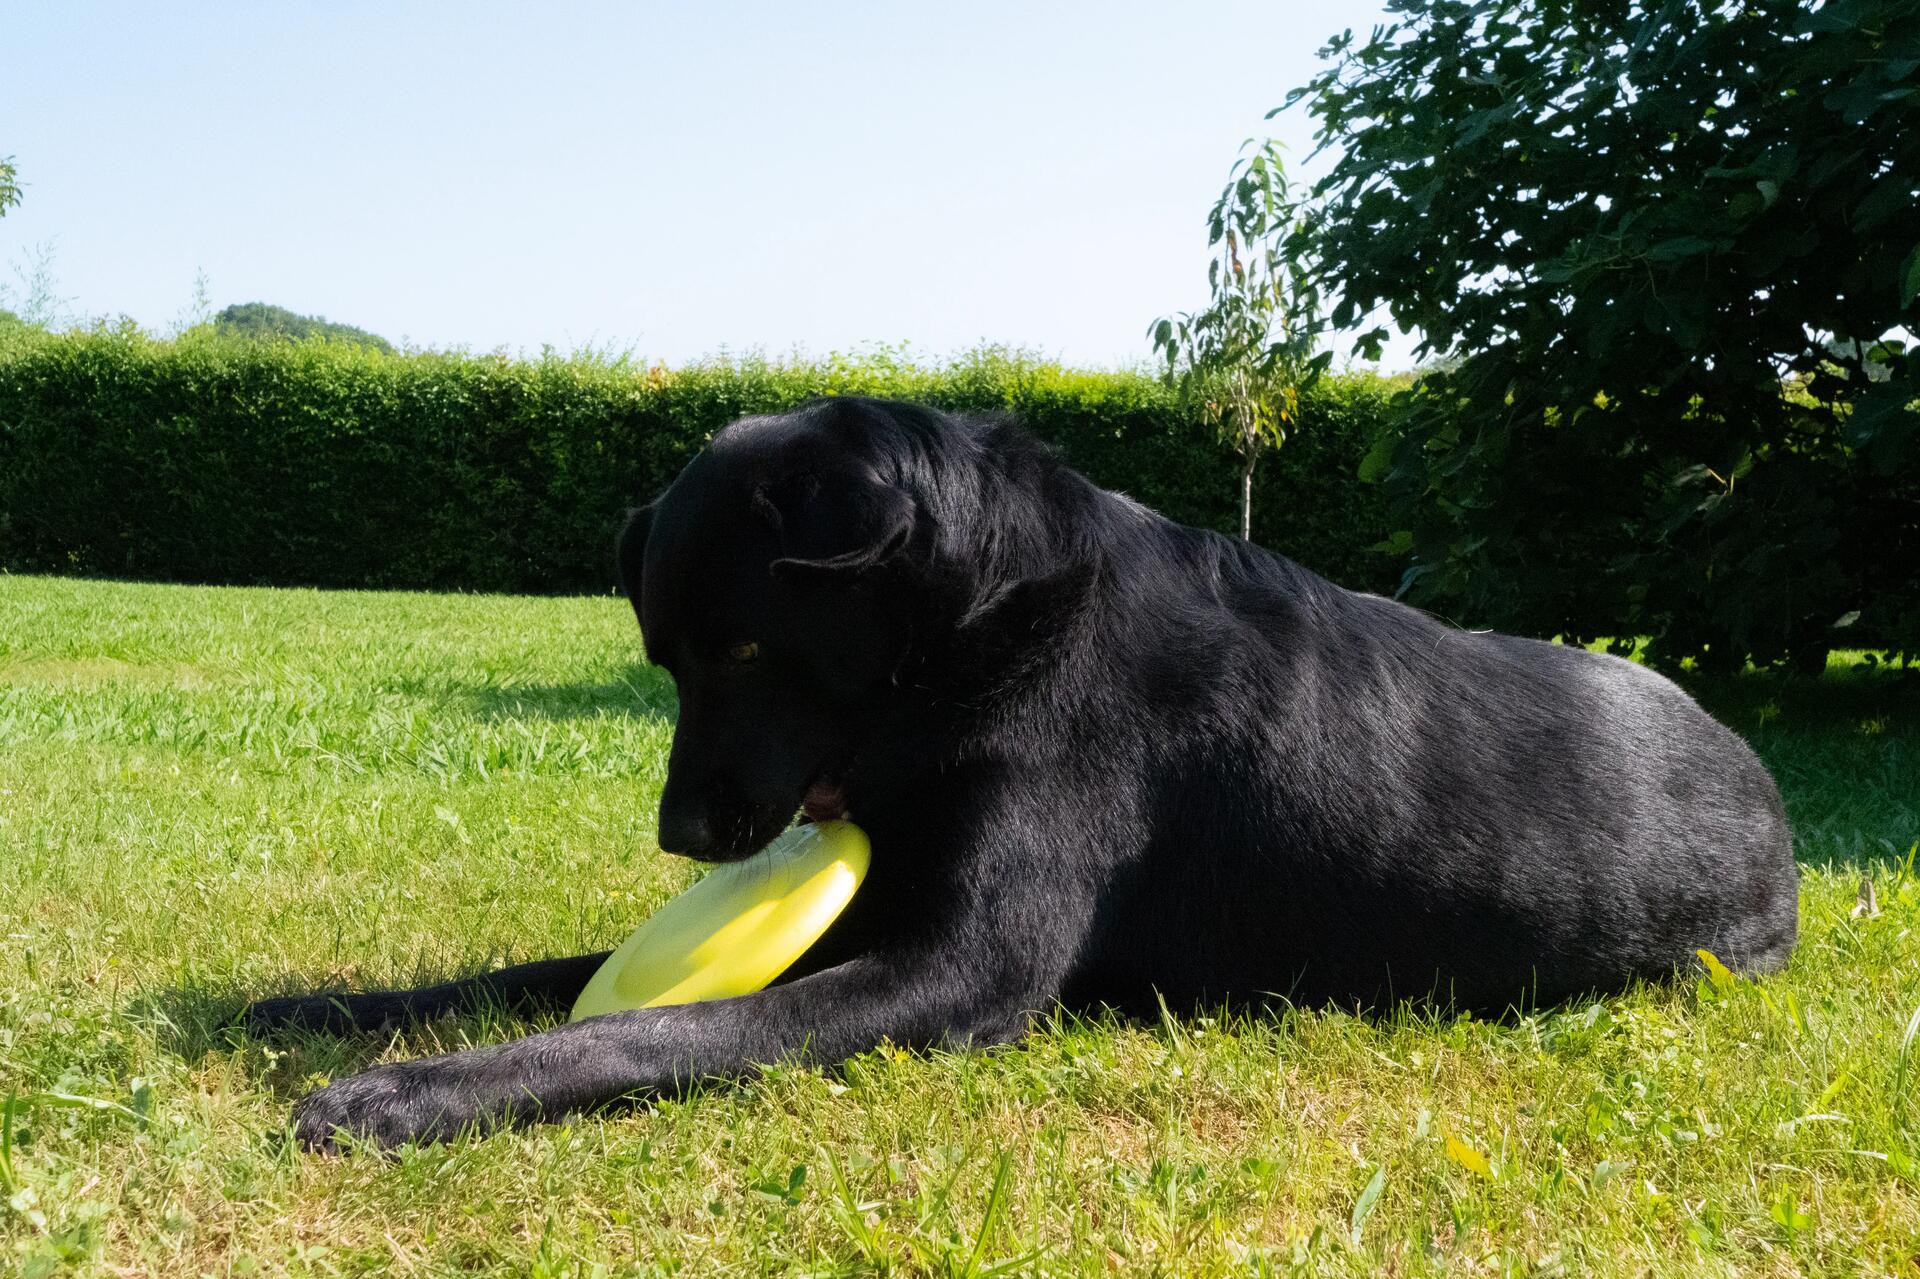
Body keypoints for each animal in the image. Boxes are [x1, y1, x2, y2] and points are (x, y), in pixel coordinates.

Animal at [251, 395, 1797, 1144]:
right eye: (663, 657)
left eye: (746, 645)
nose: (687, 837)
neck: (977, 638)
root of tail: (1767, 787)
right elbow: (533, 973)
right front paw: (329, 1009)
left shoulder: (953, 971)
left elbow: (655, 1029)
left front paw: (406, 1094)